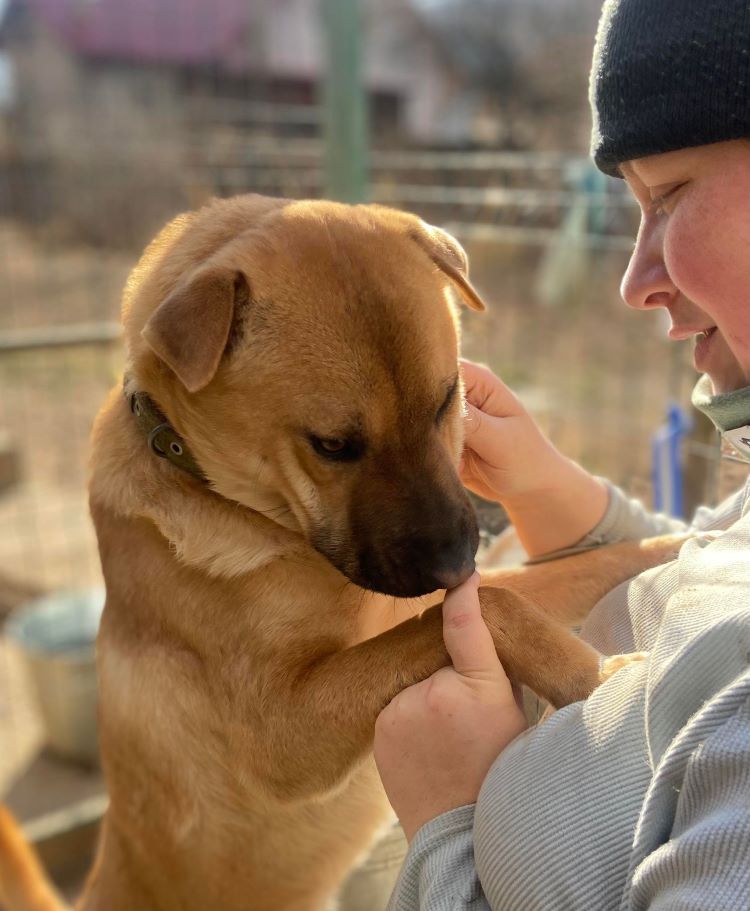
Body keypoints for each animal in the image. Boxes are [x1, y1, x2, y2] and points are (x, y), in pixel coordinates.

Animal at [0, 194, 688, 911]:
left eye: (448, 399)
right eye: (331, 445)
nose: (455, 565)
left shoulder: (422, 608)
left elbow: (567, 572)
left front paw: (676, 542)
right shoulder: (281, 731)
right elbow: (494, 606)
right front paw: (602, 680)